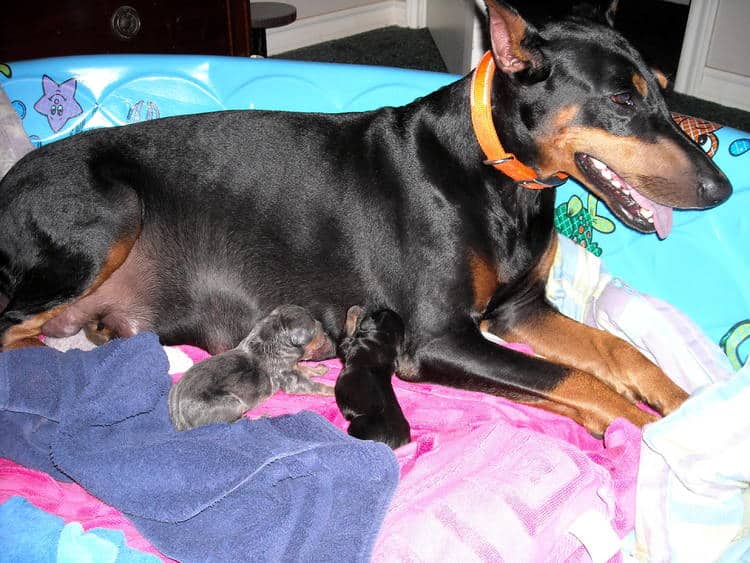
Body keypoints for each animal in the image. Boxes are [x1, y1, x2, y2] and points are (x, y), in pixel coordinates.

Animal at [172, 304, 336, 432]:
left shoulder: (292, 367)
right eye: (315, 329)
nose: (326, 331)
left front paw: (319, 369)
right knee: (232, 423)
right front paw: (333, 389)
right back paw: (258, 418)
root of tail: (179, 422)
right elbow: (316, 385)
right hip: (231, 403)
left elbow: (303, 368)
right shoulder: (292, 380)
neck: (276, 342)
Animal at [338, 306, 412, 452]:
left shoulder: (346, 346)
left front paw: (354, 312)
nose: (367, 310)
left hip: (358, 423)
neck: (386, 339)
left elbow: (347, 332)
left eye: (374, 315)